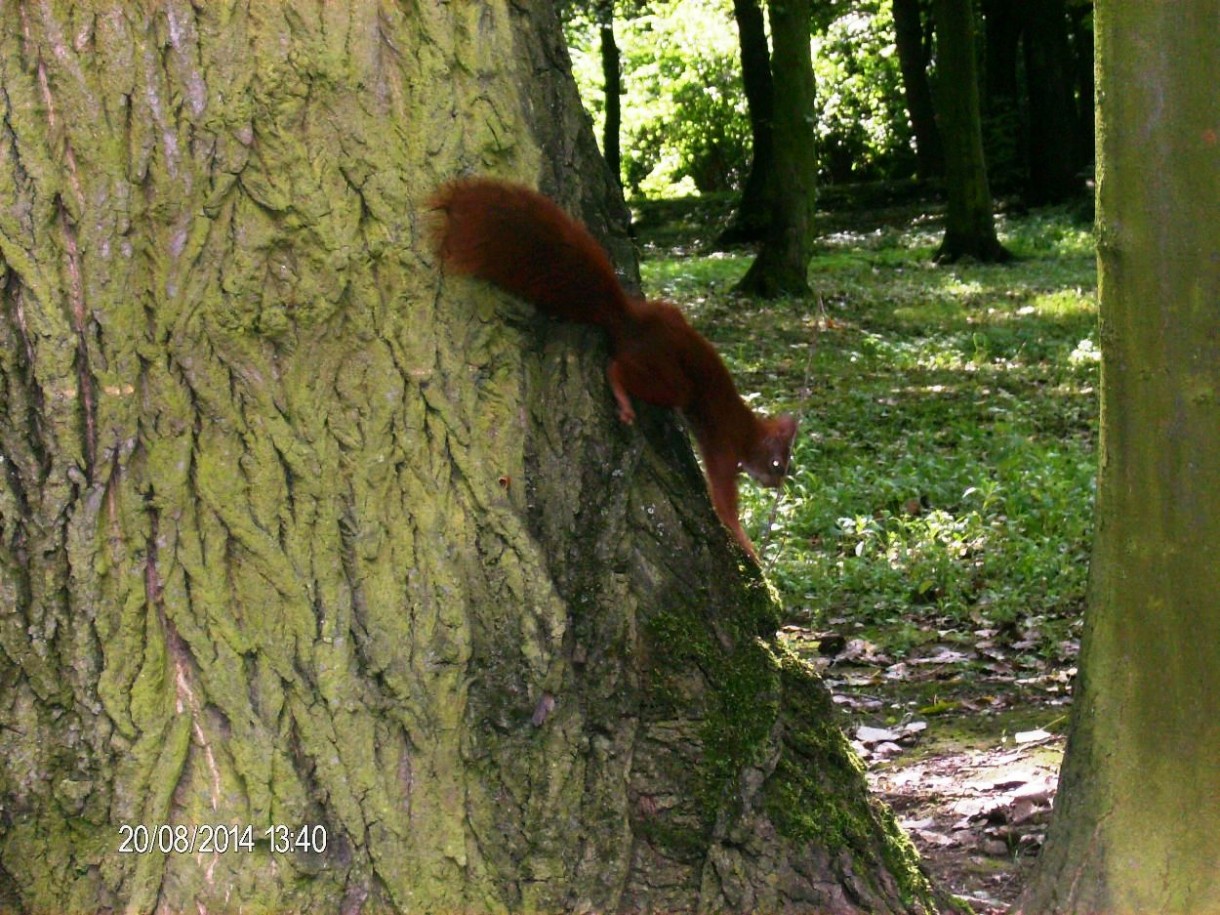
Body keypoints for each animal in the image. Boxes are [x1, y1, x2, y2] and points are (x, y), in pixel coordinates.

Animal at [431, 174, 800, 556]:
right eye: (776, 463)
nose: (776, 485)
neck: (749, 429)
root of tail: (630, 322)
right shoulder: (723, 449)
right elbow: (724, 503)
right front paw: (748, 547)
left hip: (667, 321)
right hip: (667, 377)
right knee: (618, 369)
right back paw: (622, 396)